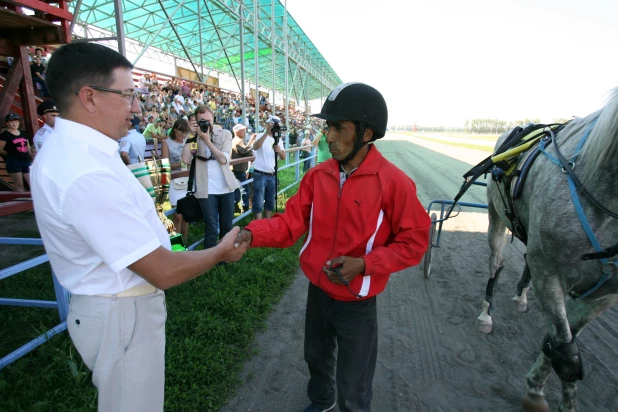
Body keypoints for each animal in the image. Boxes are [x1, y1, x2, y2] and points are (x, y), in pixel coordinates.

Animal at [474, 87, 612, 412]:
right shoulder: (549, 273)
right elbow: (564, 349)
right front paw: (536, 392)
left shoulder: (603, 293)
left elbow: (563, 342)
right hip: (495, 215)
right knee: (496, 261)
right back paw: (487, 312)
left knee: (526, 258)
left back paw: (522, 295)